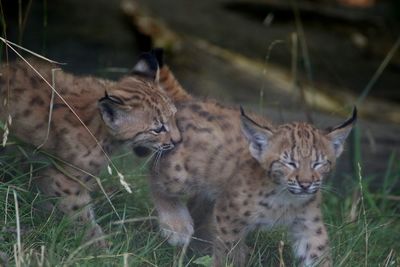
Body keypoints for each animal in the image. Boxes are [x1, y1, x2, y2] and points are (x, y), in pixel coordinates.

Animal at [0, 54, 180, 247]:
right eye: (158, 129)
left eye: (174, 116)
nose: (178, 141)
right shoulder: (65, 180)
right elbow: (81, 214)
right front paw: (98, 245)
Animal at [148, 55, 354, 266]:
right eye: (289, 163)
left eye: (318, 163)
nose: (305, 184)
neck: (285, 197)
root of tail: (193, 100)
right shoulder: (228, 213)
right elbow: (227, 249)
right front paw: (227, 261)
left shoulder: (309, 223)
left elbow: (318, 252)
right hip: (179, 175)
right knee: (153, 176)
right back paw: (176, 225)